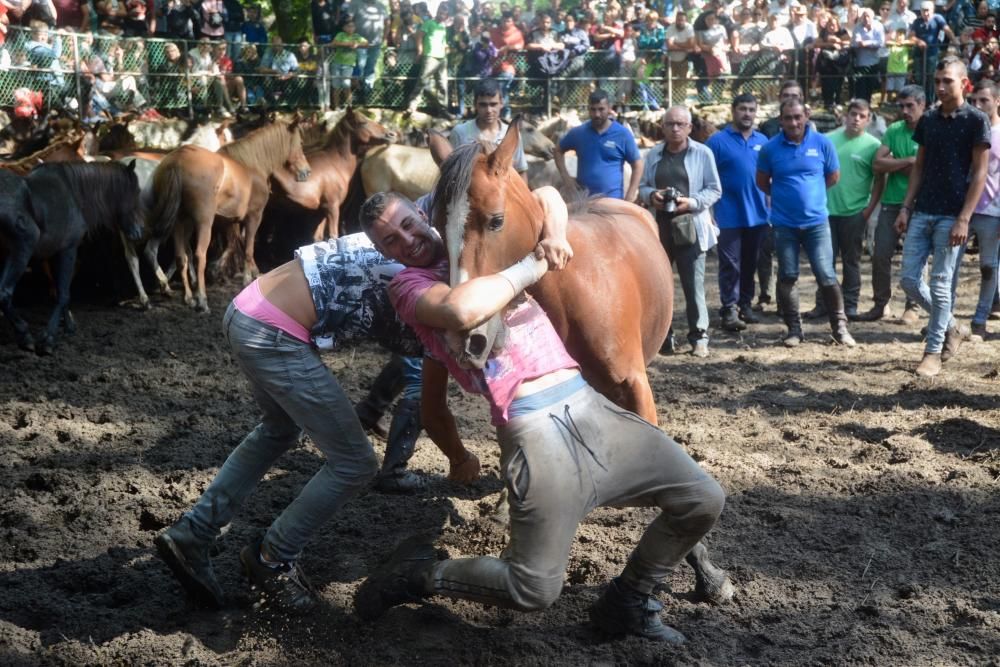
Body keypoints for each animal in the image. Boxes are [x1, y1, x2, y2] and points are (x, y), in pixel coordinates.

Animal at [0, 162, 145, 354]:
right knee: (5, 293)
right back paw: (25, 336)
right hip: (22, 249)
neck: (73, 190)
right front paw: (48, 339)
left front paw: (68, 326)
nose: (139, 232)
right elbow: (63, 294)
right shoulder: (68, 250)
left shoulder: (55, 254)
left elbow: (61, 291)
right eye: (136, 192)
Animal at [146, 118, 310, 314]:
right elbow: (248, 248)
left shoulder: (230, 221)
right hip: (203, 223)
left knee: (180, 256)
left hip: (179, 223)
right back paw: (201, 300)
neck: (252, 165)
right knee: (198, 255)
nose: (306, 172)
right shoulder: (254, 217)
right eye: (300, 142)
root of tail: (177, 162)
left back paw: (188, 298)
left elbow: (235, 245)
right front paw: (247, 278)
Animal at [274, 109, 398, 243]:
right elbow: (333, 235)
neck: (335, 163)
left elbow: (318, 238)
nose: (391, 134)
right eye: (363, 122)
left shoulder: (321, 212)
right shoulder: (332, 207)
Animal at [428, 124, 736, 604]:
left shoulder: (635, 386)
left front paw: (707, 574)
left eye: (495, 220)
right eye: (439, 226)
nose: (463, 334)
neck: (570, 289)